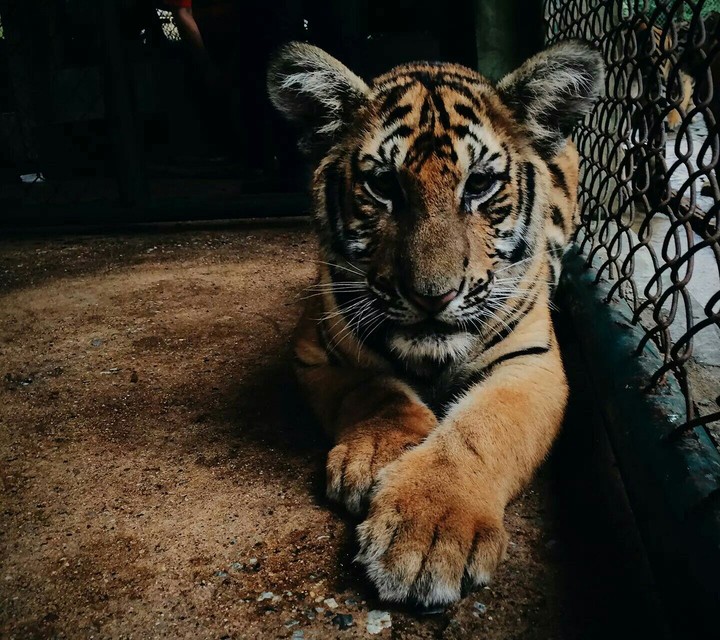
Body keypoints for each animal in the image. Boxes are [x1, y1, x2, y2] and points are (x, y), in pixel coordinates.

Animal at [267, 40, 603, 608]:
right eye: (383, 185)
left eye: (480, 184)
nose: (432, 296)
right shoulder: (315, 346)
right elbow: (373, 389)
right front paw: (383, 454)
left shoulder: (531, 363)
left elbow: (482, 429)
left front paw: (429, 531)